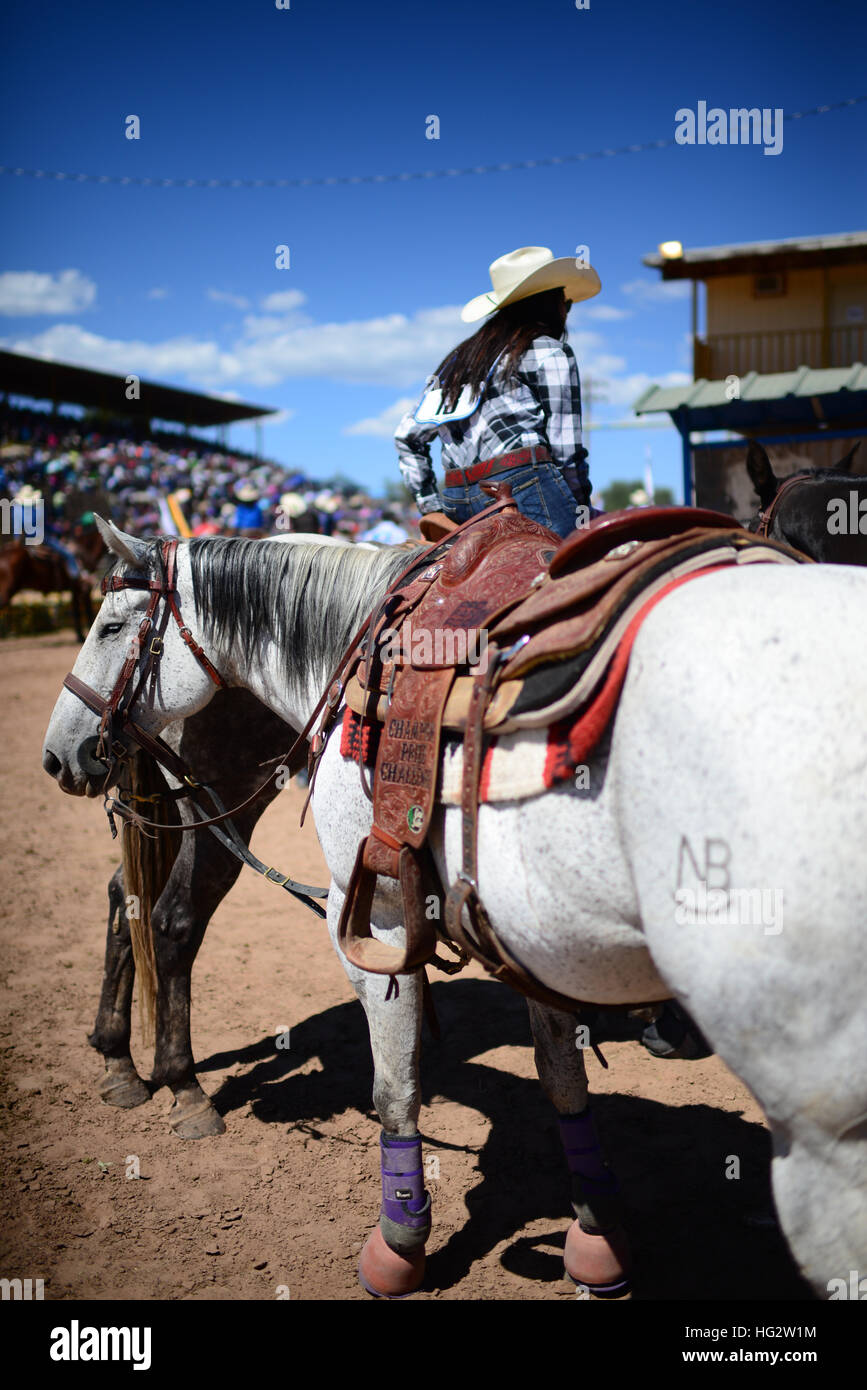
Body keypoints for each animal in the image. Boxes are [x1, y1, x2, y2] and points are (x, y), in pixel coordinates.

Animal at [44, 522, 867, 1301]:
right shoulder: (531, 933)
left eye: (109, 626)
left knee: (162, 914)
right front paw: (594, 1235)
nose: (58, 754)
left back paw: (163, 1078)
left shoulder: (374, 922)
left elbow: (399, 1086)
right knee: (149, 908)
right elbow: (560, 1077)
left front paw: (399, 1246)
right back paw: (142, 1072)